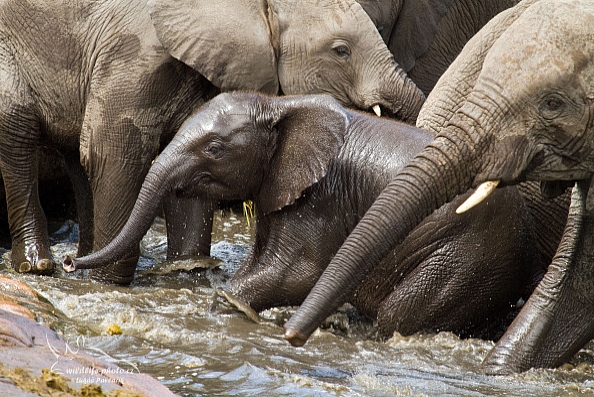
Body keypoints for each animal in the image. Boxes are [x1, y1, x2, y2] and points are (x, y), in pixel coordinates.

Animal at [0, 0, 420, 282]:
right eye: (341, 51)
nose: (70, 265)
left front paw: (185, 273)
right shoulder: (135, 55)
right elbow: (111, 151)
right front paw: (107, 282)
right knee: (17, 128)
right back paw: (39, 265)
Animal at [66, 92, 560, 340]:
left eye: (215, 148)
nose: (69, 262)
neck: (280, 104)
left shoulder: (321, 197)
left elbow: (297, 274)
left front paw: (226, 308)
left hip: (467, 259)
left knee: (399, 317)